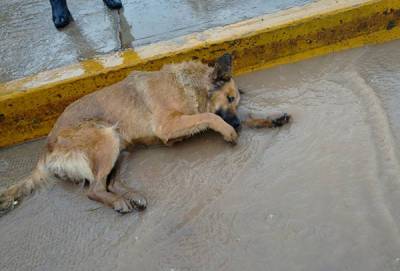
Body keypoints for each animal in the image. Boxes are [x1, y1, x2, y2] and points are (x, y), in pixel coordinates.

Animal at [0, 54, 290, 216]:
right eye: (229, 98)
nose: (238, 126)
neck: (189, 86)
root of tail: (46, 148)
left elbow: (230, 115)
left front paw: (268, 117)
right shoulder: (169, 125)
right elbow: (210, 117)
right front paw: (228, 129)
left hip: (121, 145)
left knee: (110, 182)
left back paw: (132, 196)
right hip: (107, 137)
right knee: (94, 189)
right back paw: (120, 203)